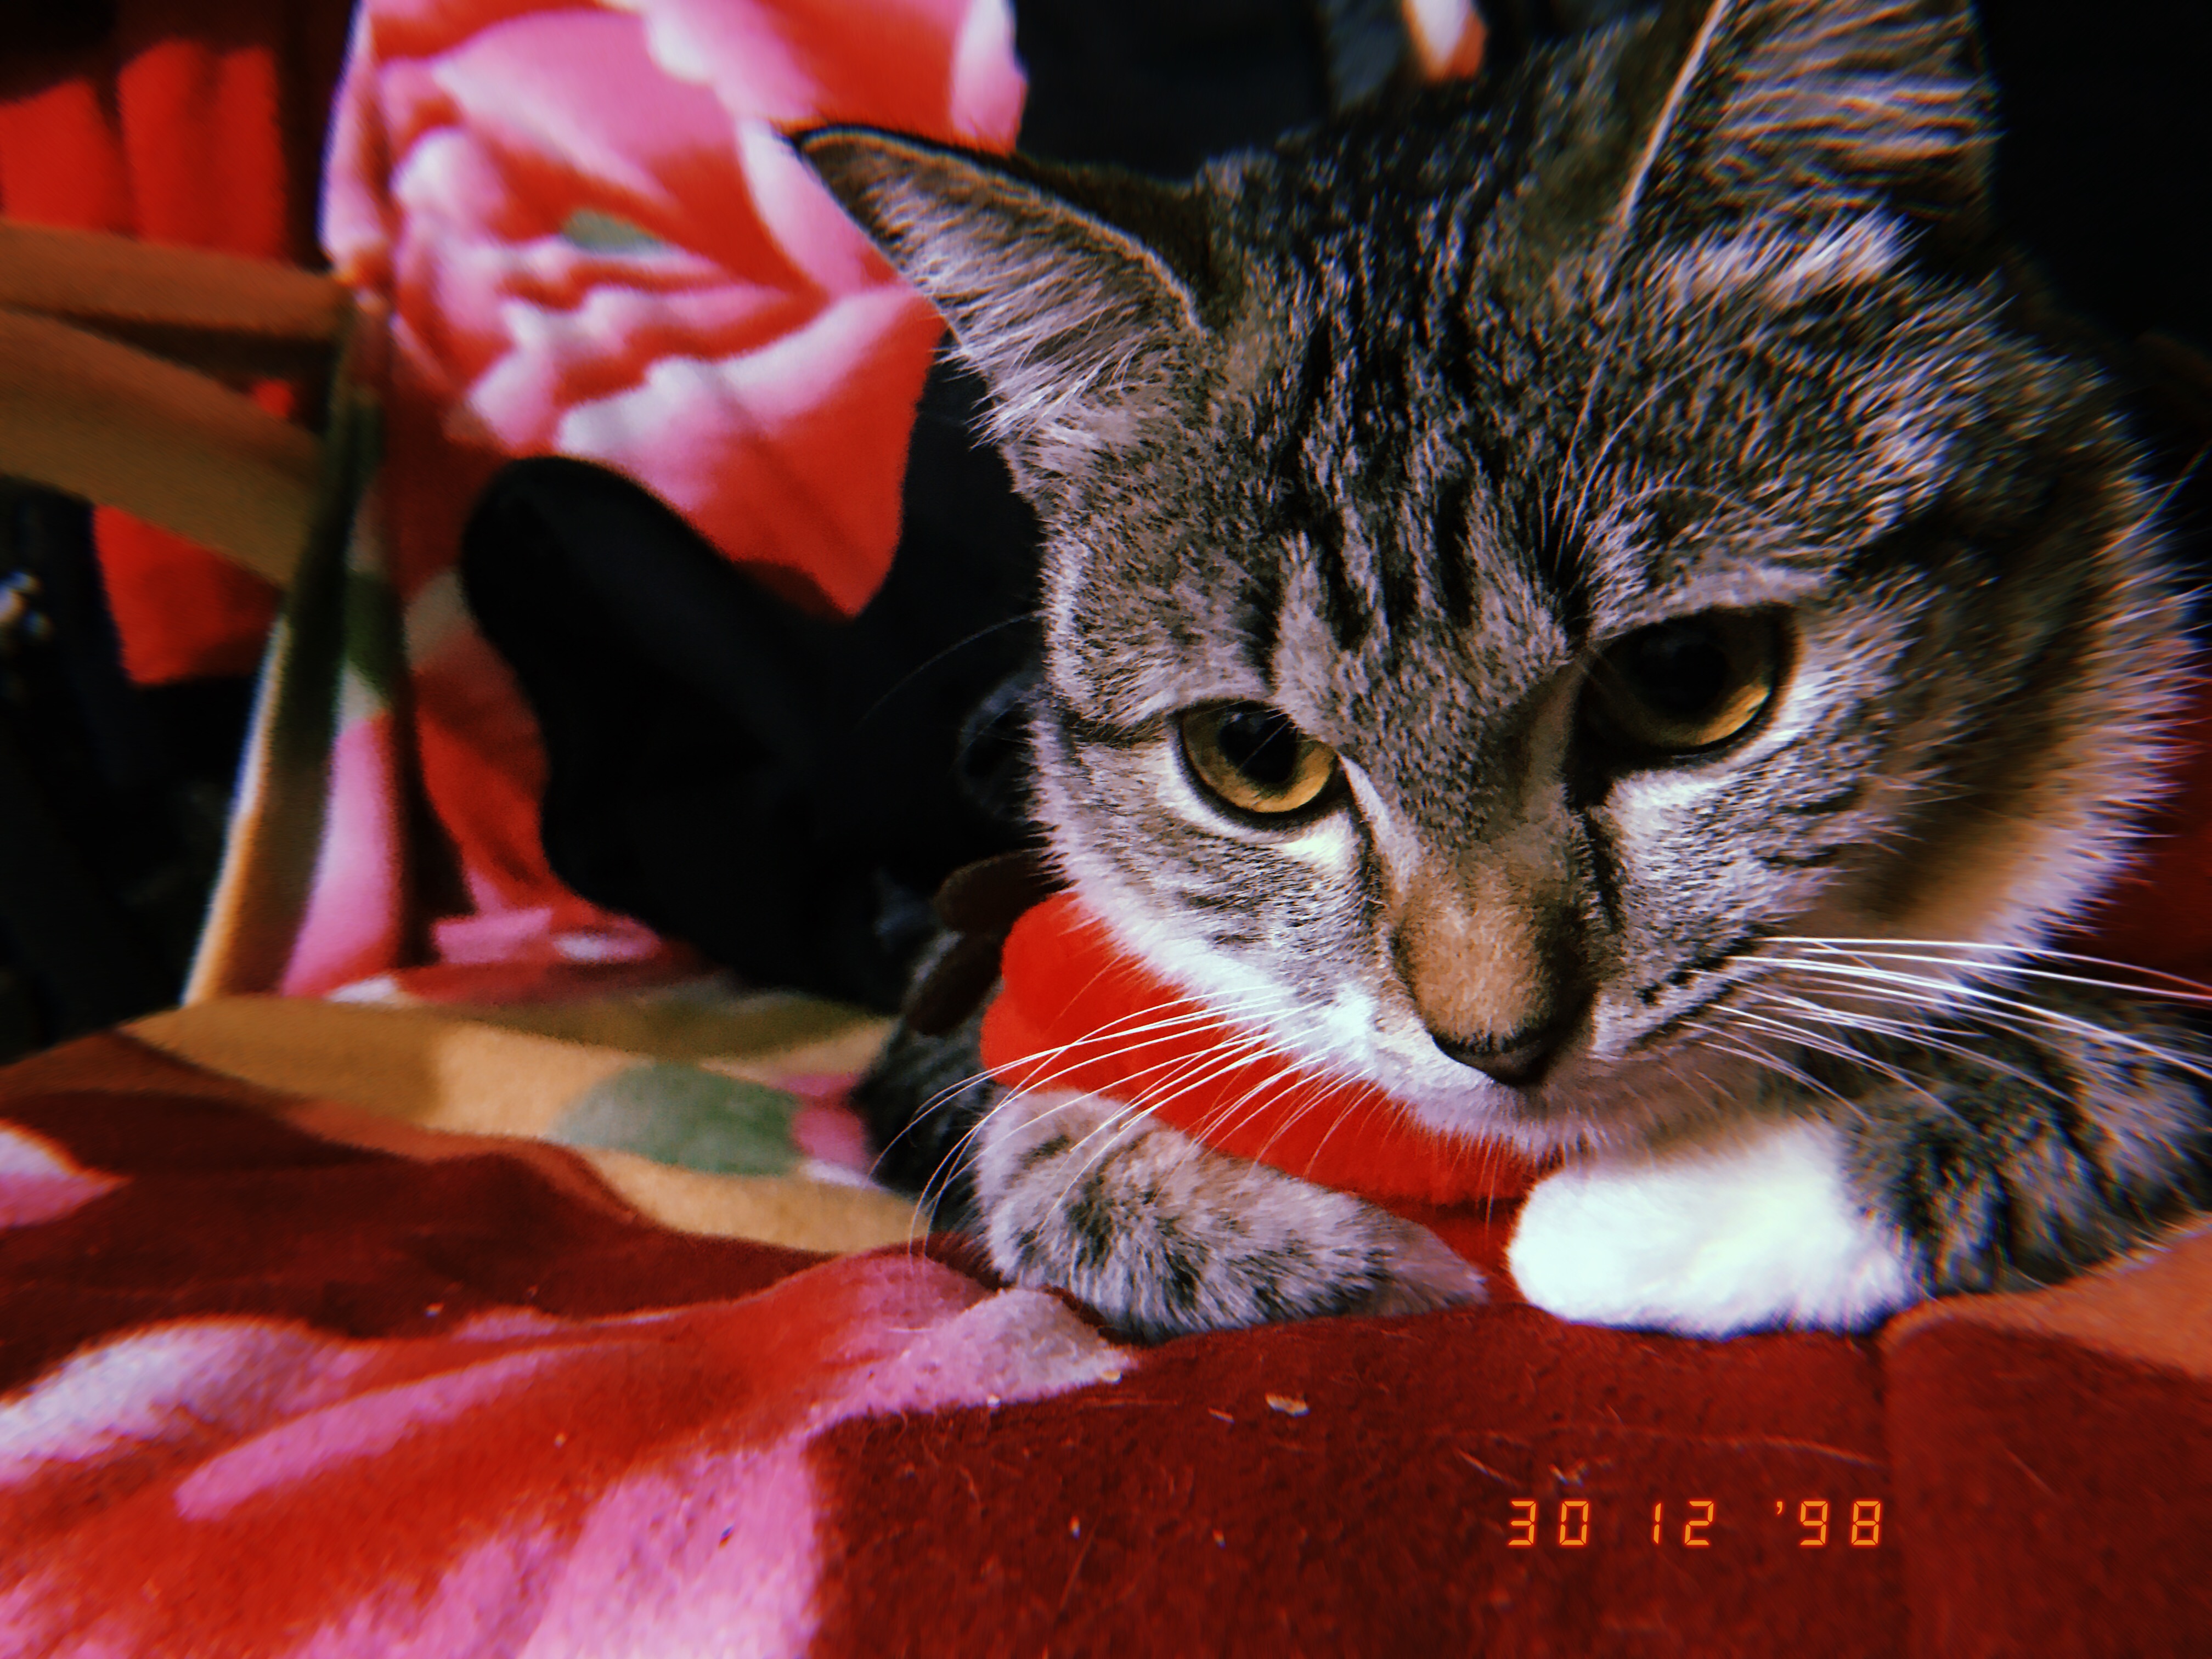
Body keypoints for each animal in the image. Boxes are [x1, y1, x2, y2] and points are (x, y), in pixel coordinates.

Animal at [805, 0, 2212, 1342]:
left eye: (1690, 678)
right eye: (1255, 757)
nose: (1501, 1044)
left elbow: (2091, 1061)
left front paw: (1644, 1219)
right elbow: (1034, 1130)